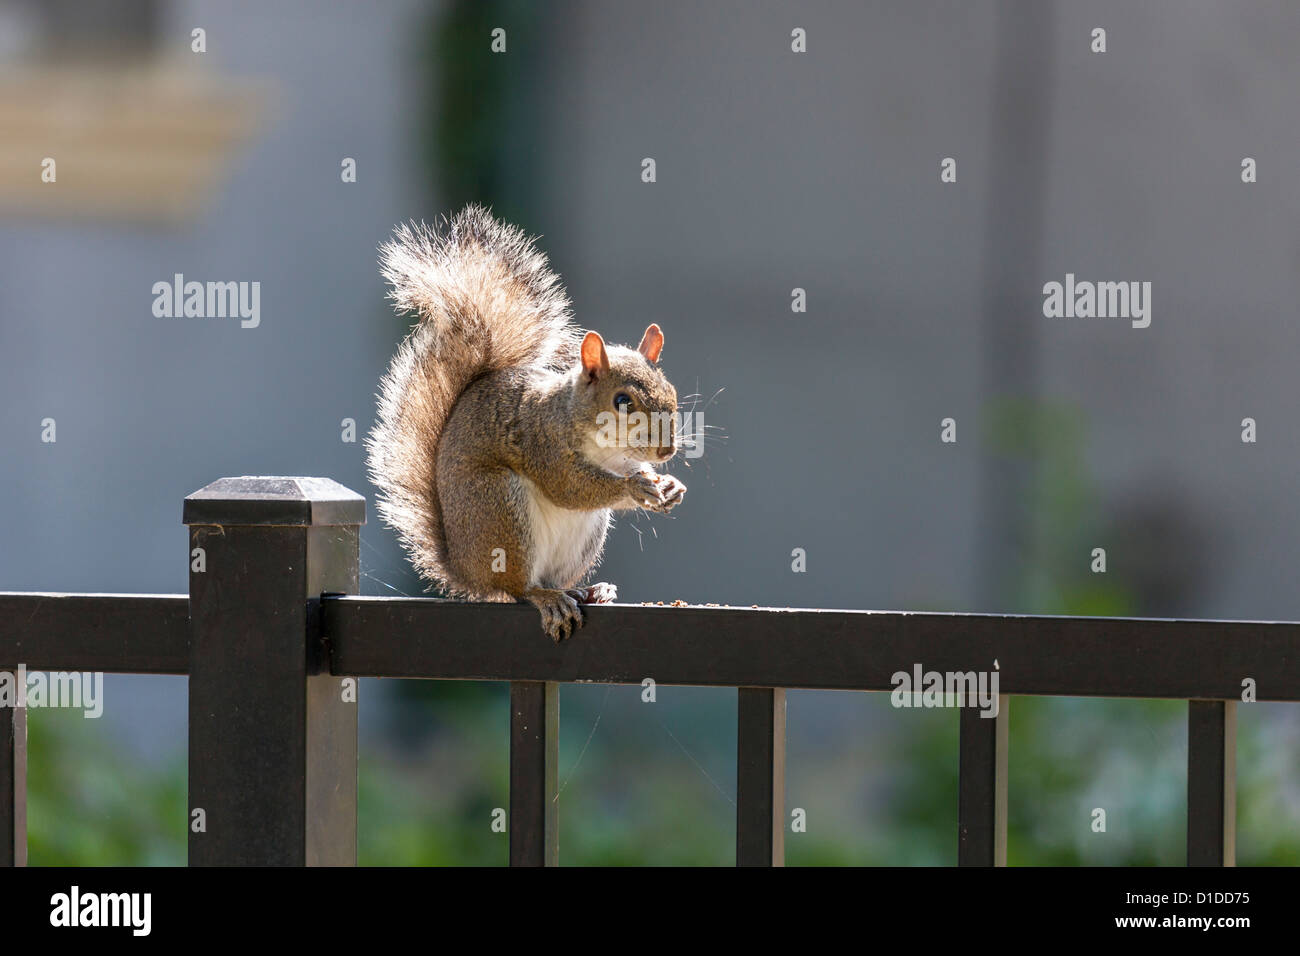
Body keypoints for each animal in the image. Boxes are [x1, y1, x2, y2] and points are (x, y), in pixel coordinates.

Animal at [366, 205, 686, 641]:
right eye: (622, 401)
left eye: (671, 390)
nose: (667, 450)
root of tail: (465, 571)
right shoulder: (542, 441)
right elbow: (570, 487)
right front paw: (635, 488)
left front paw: (667, 486)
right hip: (501, 511)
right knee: (518, 588)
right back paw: (547, 598)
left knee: (550, 579)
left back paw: (588, 591)